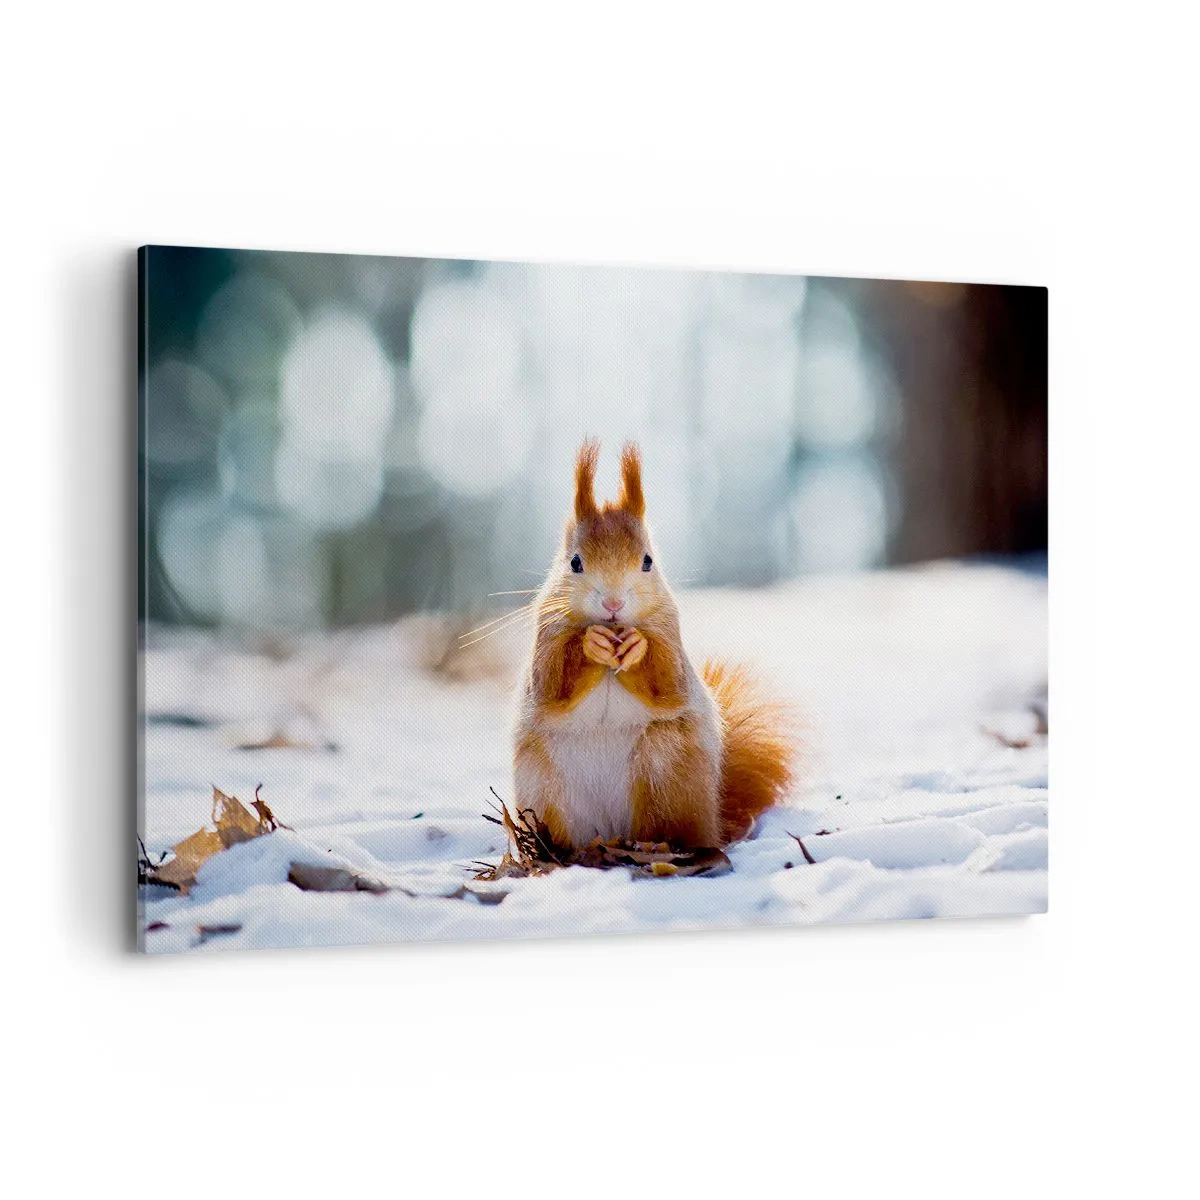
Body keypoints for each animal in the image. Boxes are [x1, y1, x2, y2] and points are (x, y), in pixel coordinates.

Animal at [513, 438, 797, 851]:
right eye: (575, 563)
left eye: (647, 561)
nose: (613, 604)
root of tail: (610, 832)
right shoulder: (546, 635)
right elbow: (551, 683)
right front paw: (590, 644)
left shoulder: (670, 636)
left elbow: (668, 682)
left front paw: (637, 647)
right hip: (544, 786)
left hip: (666, 769)